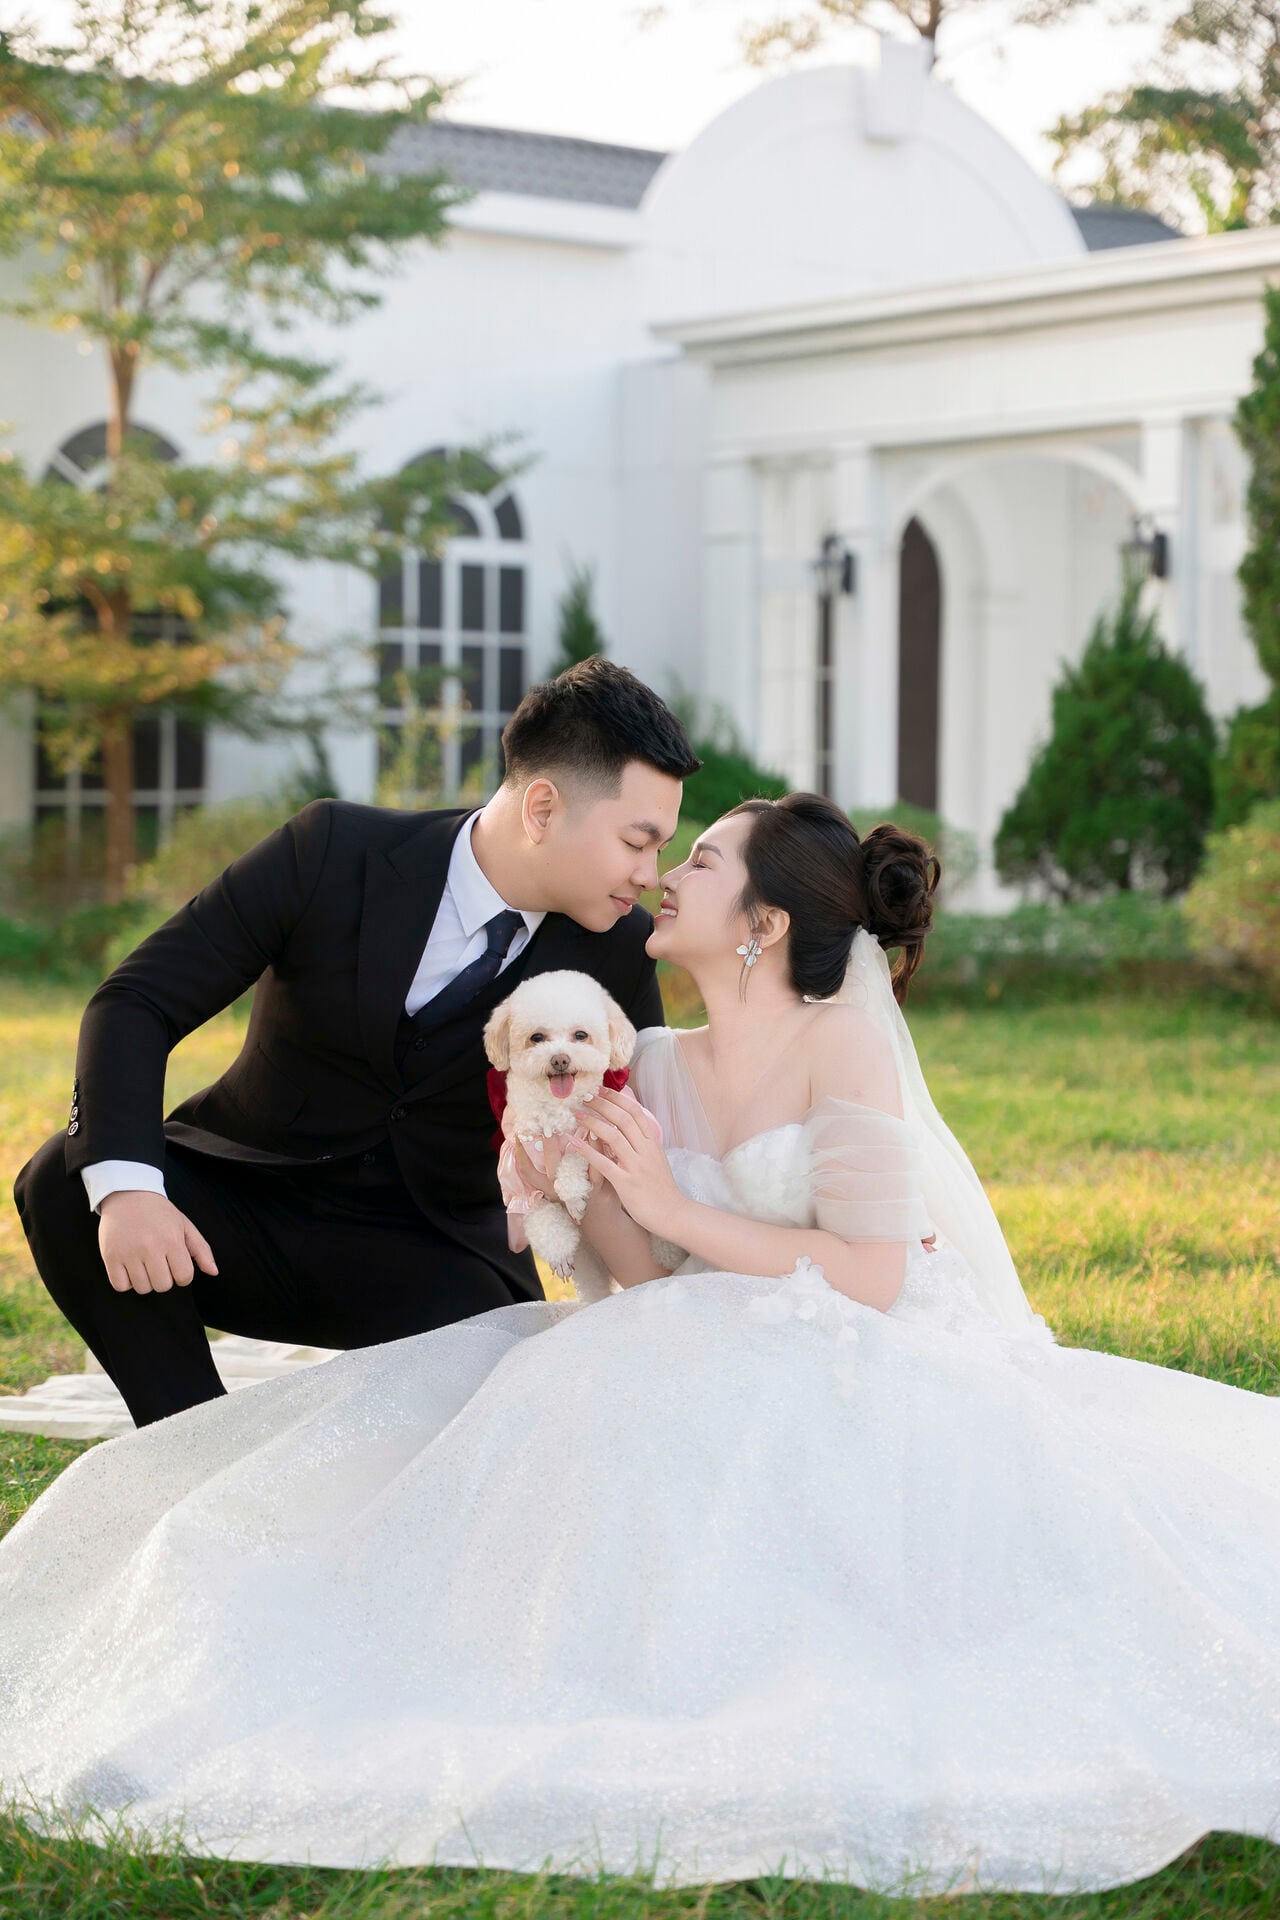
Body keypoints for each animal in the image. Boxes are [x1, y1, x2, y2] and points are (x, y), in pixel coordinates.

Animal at [482, 970, 682, 1303]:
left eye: (580, 1035)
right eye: (537, 1038)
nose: (560, 1059)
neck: (557, 1111)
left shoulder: (601, 1138)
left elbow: (575, 1156)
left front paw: (573, 1195)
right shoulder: (518, 1184)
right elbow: (542, 1218)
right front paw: (560, 1252)